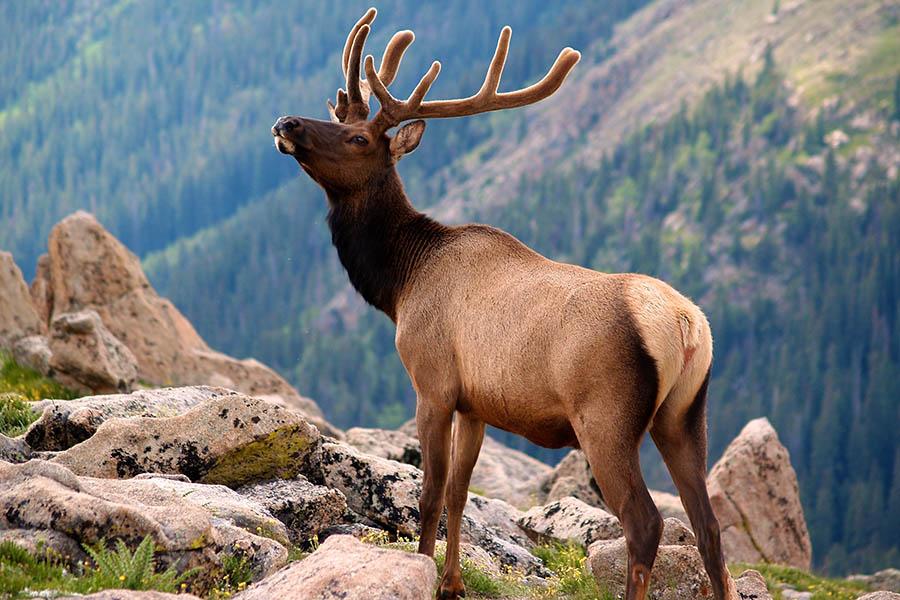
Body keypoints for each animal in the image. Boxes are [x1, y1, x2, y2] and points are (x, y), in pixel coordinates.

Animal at [272, 8, 735, 600]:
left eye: (357, 137)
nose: (287, 123)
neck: (400, 283)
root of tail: (684, 324)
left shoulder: (433, 381)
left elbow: (429, 494)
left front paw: (426, 573)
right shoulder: (476, 404)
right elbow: (459, 493)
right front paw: (451, 584)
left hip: (605, 417)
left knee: (645, 522)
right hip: (685, 415)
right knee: (709, 527)